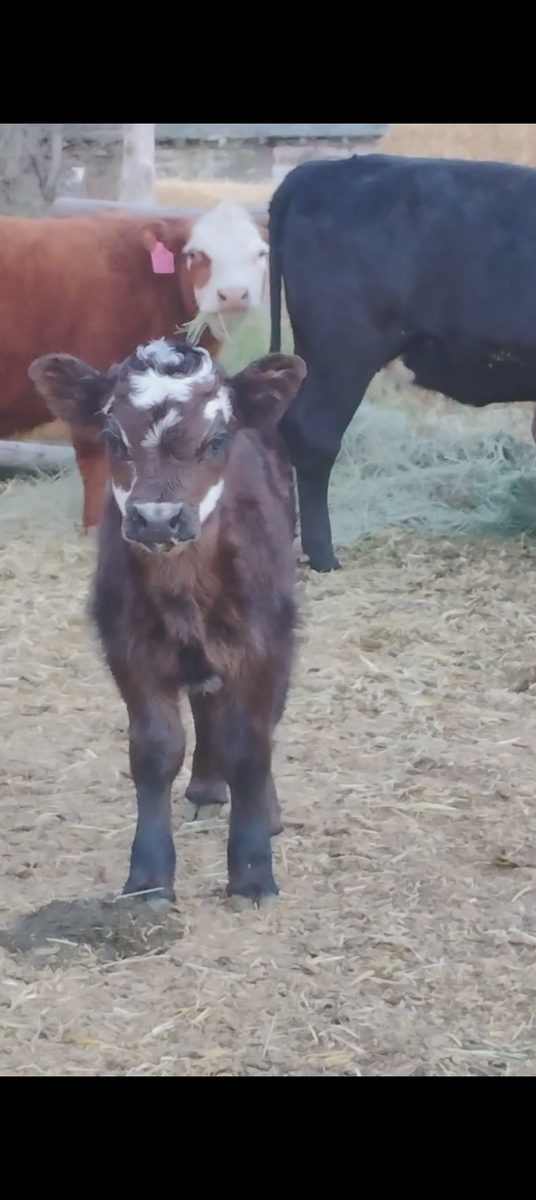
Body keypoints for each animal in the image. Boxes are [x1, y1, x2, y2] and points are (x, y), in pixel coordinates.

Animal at [29, 339, 306, 911]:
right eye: (113, 437)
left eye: (217, 438)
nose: (158, 519)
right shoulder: (128, 645)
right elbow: (156, 751)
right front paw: (149, 876)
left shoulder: (262, 642)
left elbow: (250, 744)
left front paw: (252, 874)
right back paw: (205, 789)